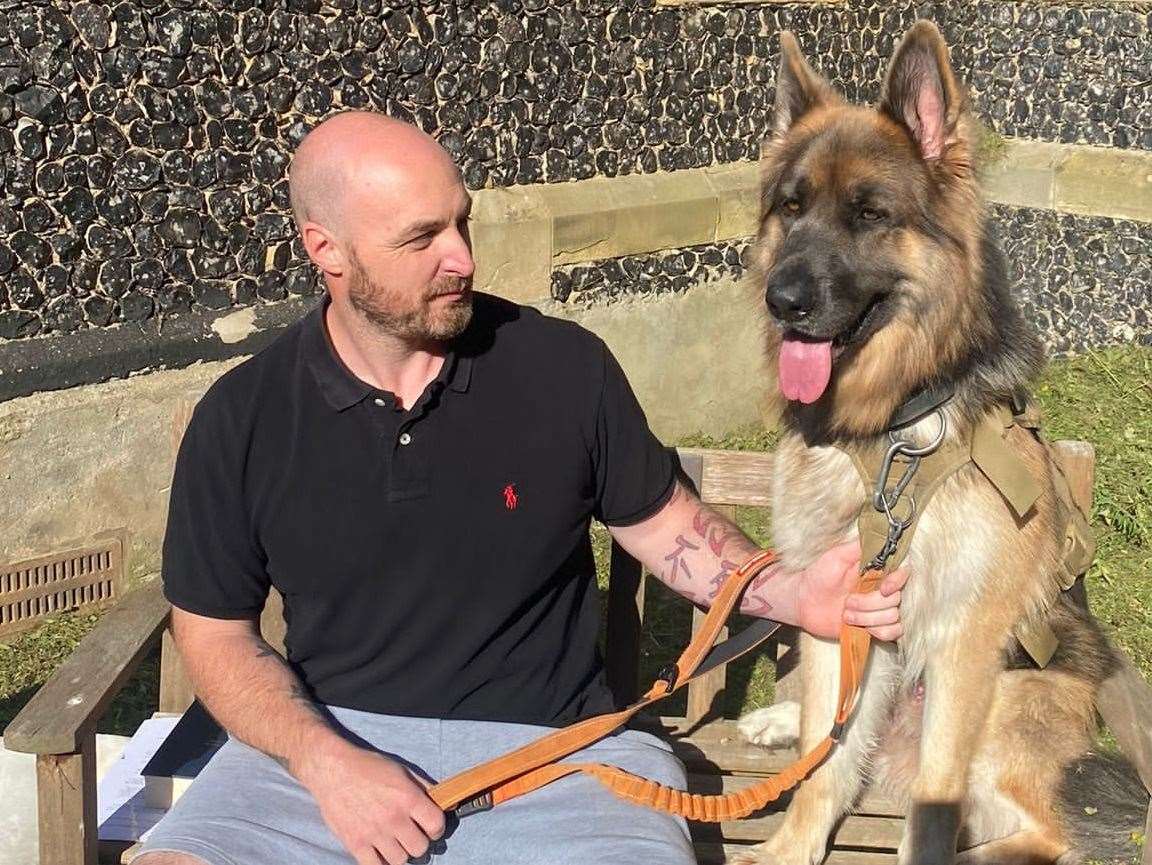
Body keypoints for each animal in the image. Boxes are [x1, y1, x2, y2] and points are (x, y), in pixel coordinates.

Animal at [732, 18, 1147, 865]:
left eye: (869, 214)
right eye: (791, 207)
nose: (782, 301)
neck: (889, 432)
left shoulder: (964, 641)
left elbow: (930, 806)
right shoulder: (842, 612)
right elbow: (823, 765)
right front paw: (789, 845)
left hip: (1011, 699)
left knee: (1049, 832)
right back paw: (779, 721)